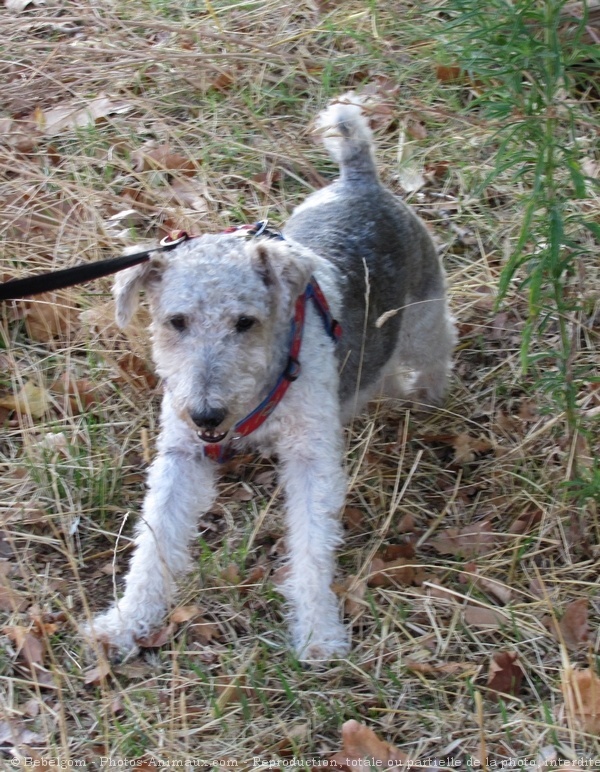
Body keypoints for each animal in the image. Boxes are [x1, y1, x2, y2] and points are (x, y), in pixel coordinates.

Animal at [85, 93, 454, 660]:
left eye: (245, 322)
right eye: (175, 321)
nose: (206, 414)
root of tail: (360, 180)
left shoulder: (309, 457)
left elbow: (311, 546)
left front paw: (318, 632)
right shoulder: (182, 455)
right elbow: (154, 540)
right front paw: (126, 621)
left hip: (423, 320)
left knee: (436, 352)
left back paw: (425, 400)